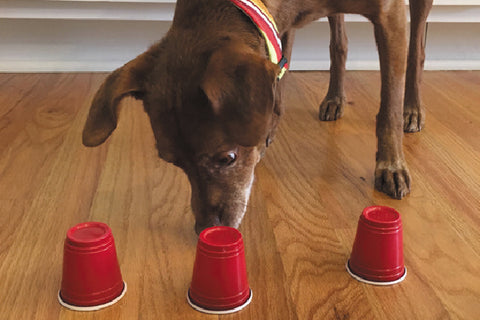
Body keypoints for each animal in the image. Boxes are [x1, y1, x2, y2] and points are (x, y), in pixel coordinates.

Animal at [85, 0, 432, 235]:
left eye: (227, 158)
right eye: (173, 162)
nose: (206, 229)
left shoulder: (390, 14)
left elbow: (389, 104)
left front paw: (391, 164)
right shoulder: (279, 27)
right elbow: (279, 76)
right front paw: (269, 130)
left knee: (417, 50)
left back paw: (412, 110)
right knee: (339, 42)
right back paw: (334, 98)